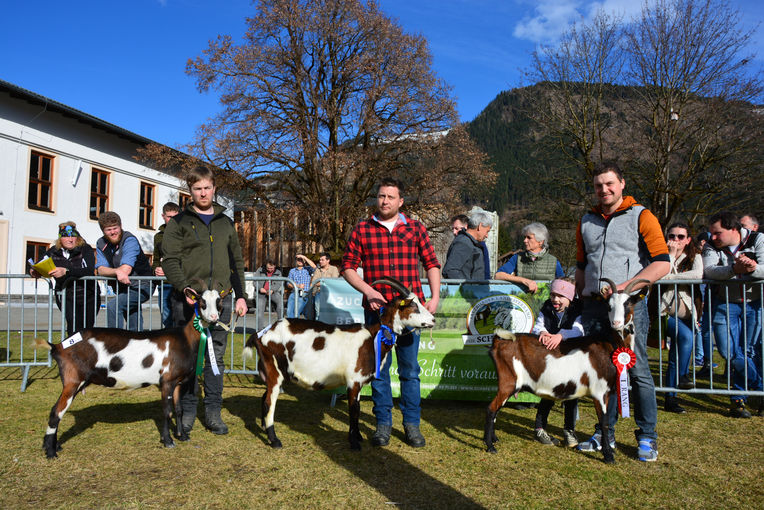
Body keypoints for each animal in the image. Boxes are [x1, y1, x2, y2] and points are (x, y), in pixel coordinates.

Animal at [37, 286, 227, 458]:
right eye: (202, 302)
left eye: (219, 302)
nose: (214, 318)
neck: (184, 339)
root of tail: (58, 346)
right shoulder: (166, 381)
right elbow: (167, 412)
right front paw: (167, 441)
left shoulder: (177, 382)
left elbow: (179, 410)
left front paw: (182, 436)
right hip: (73, 380)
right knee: (55, 412)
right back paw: (51, 452)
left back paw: (54, 446)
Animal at [245, 276, 436, 448]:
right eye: (414, 306)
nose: (433, 320)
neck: (373, 336)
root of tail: (262, 333)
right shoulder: (354, 380)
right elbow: (354, 410)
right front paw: (354, 443)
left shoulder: (359, 382)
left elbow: (357, 408)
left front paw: (358, 437)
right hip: (274, 370)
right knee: (269, 402)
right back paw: (274, 440)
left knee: (264, 398)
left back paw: (264, 428)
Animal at [484, 278, 652, 462]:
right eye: (609, 305)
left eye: (628, 304)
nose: (616, 323)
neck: (608, 344)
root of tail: (500, 341)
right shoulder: (599, 391)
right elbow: (604, 422)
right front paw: (608, 455)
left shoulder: (607, 392)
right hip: (508, 382)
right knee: (491, 409)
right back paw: (490, 446)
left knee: (496, 409)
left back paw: (494, 439)